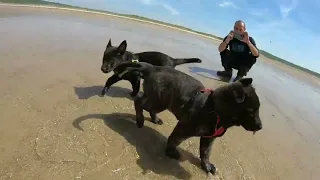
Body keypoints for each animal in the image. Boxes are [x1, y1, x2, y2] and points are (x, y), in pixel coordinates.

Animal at [120, 61, 262, 174]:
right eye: (251, 111)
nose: (260, 127)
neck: (213, 108)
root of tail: (153, 68)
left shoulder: (208, 138)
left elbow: (205, 152)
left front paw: (206, 165)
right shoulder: (184, 128)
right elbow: (174, 140)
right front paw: (171, 152)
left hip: (158, 100)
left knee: (146, 105)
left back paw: (154, 119)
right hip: (158, 101)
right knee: (138, 102)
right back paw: (140, 120)